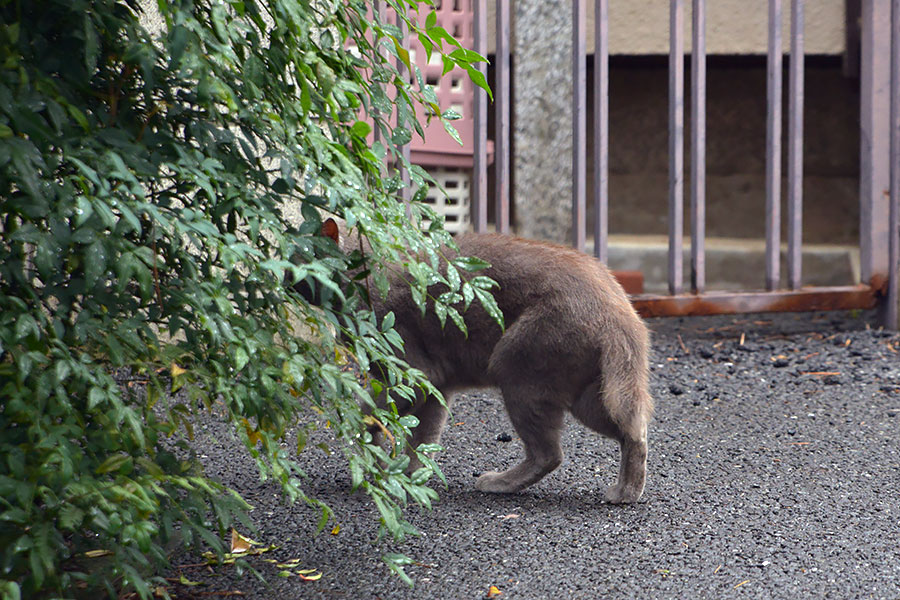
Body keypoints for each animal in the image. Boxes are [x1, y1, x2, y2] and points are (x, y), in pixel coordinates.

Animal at [306, 218, 652, 504]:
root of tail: (620, 310)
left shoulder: (412, 373)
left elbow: (372, 415)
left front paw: (375, 459)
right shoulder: (437, 386)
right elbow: (423, 438)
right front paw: (410, 476)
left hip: (518, 370)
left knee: (550, 454)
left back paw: (499, 483)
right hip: (589, 393)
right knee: (634, 432)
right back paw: (627, 492)